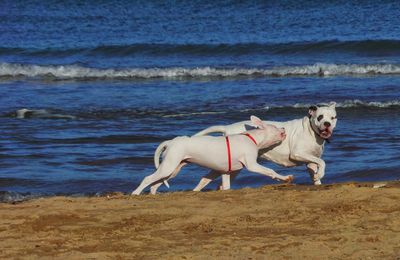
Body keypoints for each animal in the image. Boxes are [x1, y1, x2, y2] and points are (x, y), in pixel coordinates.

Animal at [133, 116, 292, 195]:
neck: (252, 138)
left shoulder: (225, 171)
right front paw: (285, 178)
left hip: (173, 168)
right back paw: (135, 193)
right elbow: (270, 170)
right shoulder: (252, 164)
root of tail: (171, 142)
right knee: (148, 179)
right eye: (275, 127)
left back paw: (153, 194)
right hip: (169, 165)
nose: (284, 129)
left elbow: (225, 185)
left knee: (155, 183)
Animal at [191, 101, 338, 189]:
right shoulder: (298, 154)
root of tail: (227, 128)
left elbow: (317, 167)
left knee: (206, 180)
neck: (312, 131)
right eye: (320, 117)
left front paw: (318, 178)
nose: (327, 124)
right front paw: (319, 174)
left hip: (225, 165)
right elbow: (322, 161)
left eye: (333, 118)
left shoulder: (310, 161)